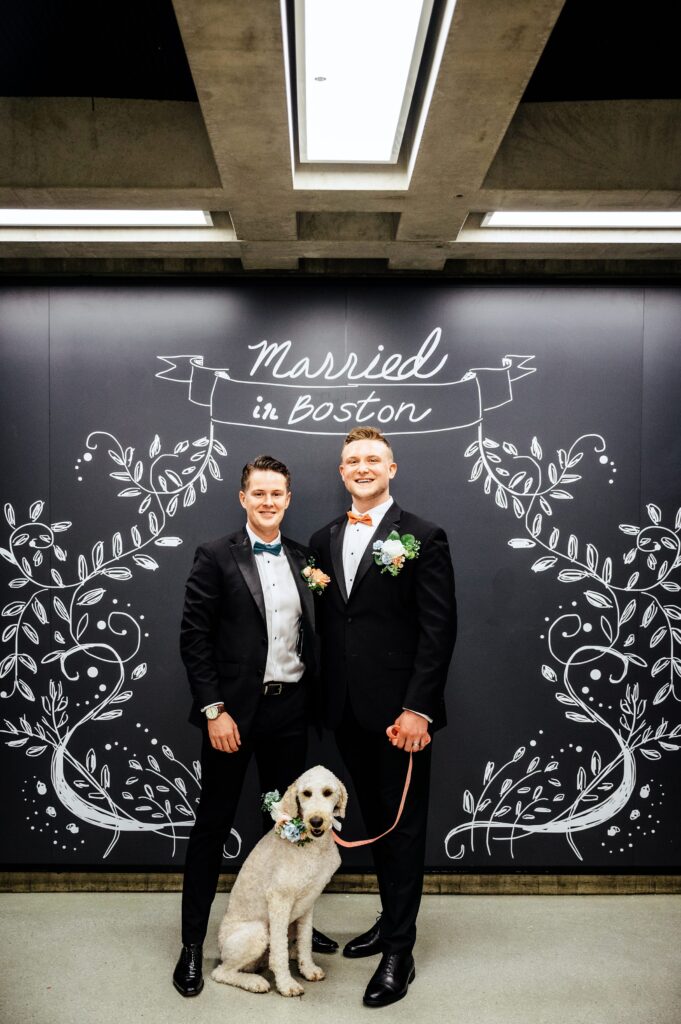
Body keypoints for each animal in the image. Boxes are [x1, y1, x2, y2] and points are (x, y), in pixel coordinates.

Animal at [209, 765, 346, 995]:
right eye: (306, 793)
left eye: (328, 792)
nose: (316, 821)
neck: (313, 848)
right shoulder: (279, 899)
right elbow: (279, 952)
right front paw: (286, 984)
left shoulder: (309, 900)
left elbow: (305, 940)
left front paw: (308, 969)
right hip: (257, 932)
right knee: (221, 972)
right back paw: (255, 982)